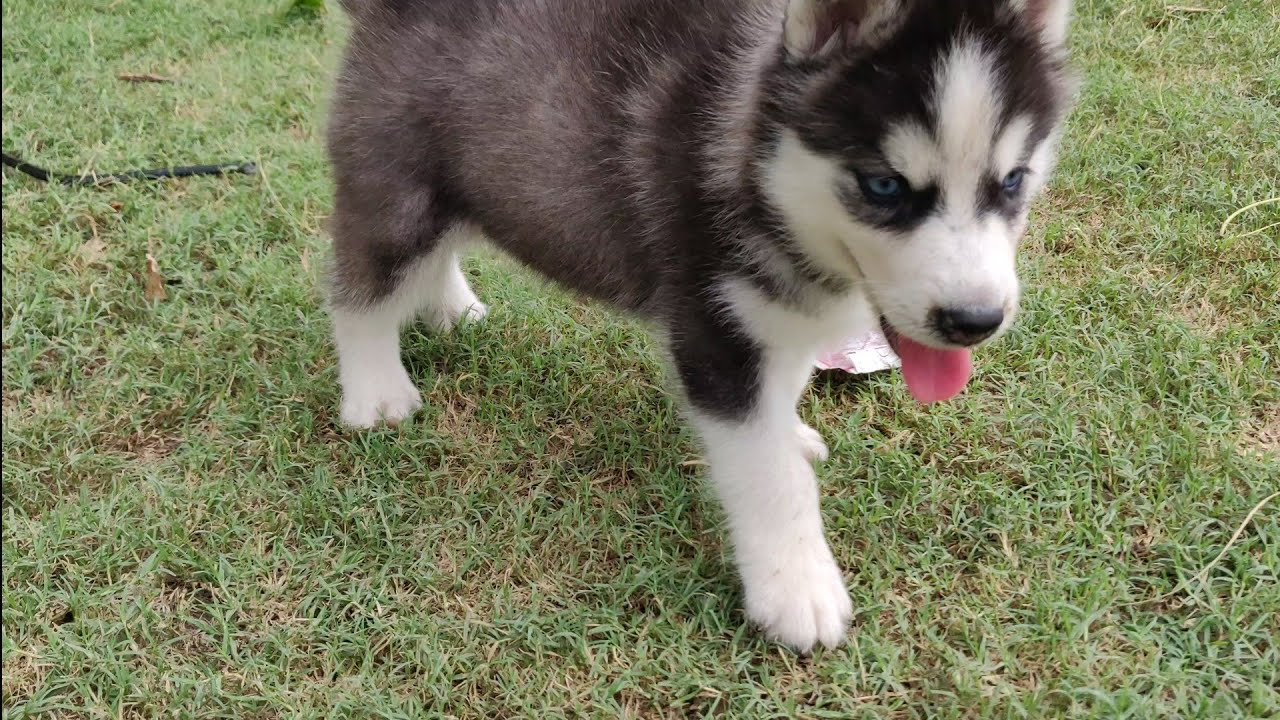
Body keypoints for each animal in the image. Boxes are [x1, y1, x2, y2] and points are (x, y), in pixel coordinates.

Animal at [325, 1, 1075, 650]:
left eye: (1013, 180)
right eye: (884, 186)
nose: (975, 321)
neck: (757, 165)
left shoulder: (769, 315)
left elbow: (788, 386)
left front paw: (793, 431)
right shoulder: (714, 328)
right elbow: (769, 475)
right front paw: (796, 589)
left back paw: (452, 307)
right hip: (398, 194)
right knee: (357, 291)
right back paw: (376, 394)